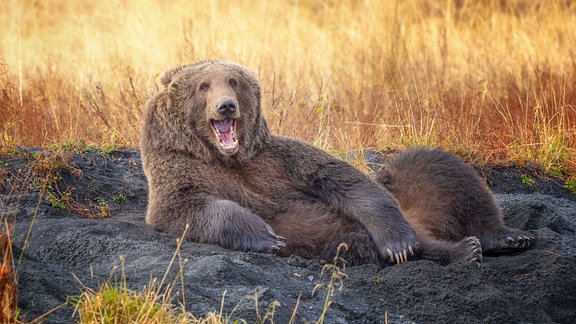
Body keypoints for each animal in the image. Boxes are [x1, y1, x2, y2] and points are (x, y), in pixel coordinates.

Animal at [140, 60, 482, 266]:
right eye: (203, 86)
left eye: (233, 81)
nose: (226, 106)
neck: (226, 157)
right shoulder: (180, 171)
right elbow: (187, 208)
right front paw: (268, 237)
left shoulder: (278, 161)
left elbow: (346, 180)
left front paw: (399, 243)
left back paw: (467, 249)